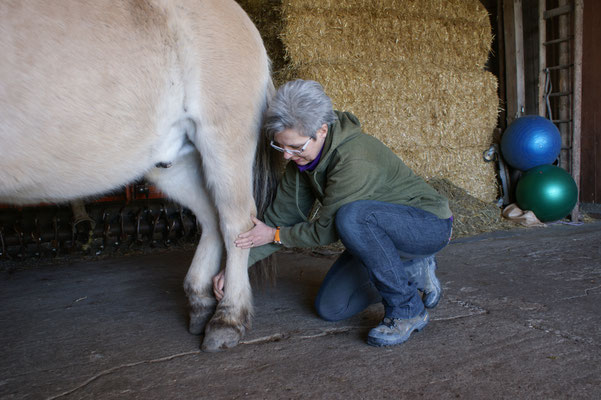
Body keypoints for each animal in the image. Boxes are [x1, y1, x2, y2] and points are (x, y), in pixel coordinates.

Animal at [0, 0, 276, 350]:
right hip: (174, 161)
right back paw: (200, 304)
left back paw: (228, 319)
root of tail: (244, 22)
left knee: (235, 222)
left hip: (224, 141)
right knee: (210, 217)